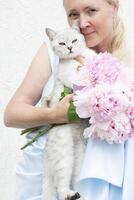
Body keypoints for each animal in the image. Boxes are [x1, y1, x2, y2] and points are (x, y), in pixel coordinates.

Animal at [43, 23, 95, 200]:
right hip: (64, 155)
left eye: (74, 40)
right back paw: (69, 194)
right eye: (62, 43)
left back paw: (82, 194)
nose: (70, 48)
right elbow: (82, 78)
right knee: (61, 184)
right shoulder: (68, 75)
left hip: (79, 156)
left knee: (75, 178)